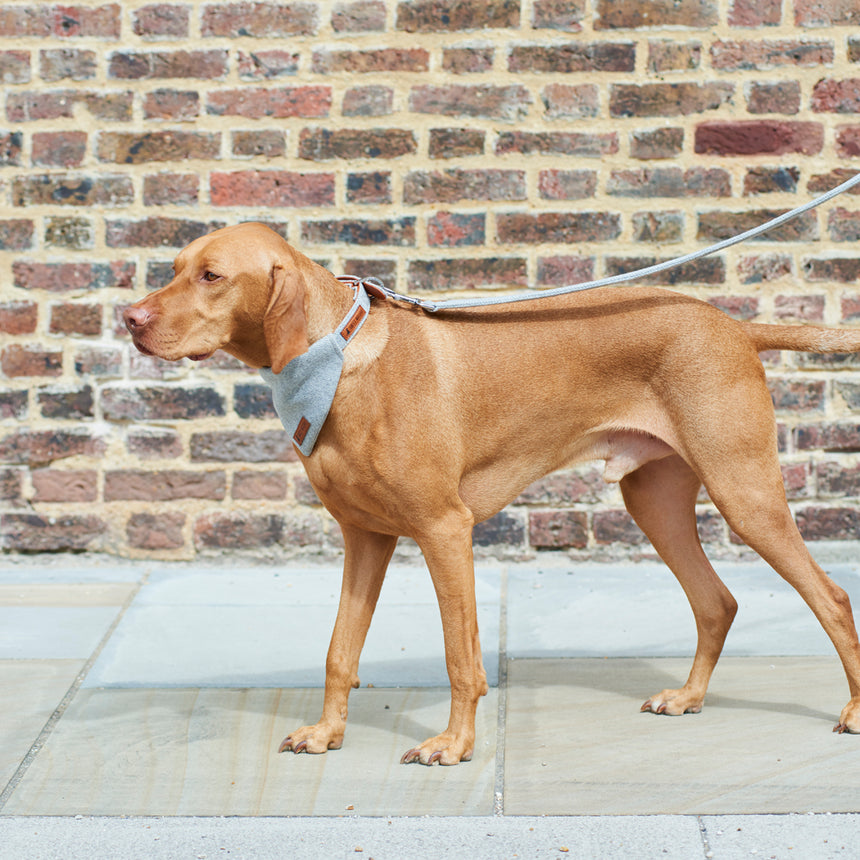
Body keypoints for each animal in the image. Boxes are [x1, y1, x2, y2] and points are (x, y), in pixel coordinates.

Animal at [122, 222, 860, 764]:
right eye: (175, 266)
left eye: (211, 276)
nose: (129, 319)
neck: (340, 359)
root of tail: (733, 324)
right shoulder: (365, 538)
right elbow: (339, 651)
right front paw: (327, 733)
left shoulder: (446, 530)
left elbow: (461, 656)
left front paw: (454, 745)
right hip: (654, 502)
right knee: (717, 602)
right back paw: (688, 697)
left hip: (745, 493)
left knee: (831, 597)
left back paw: (851, 711)